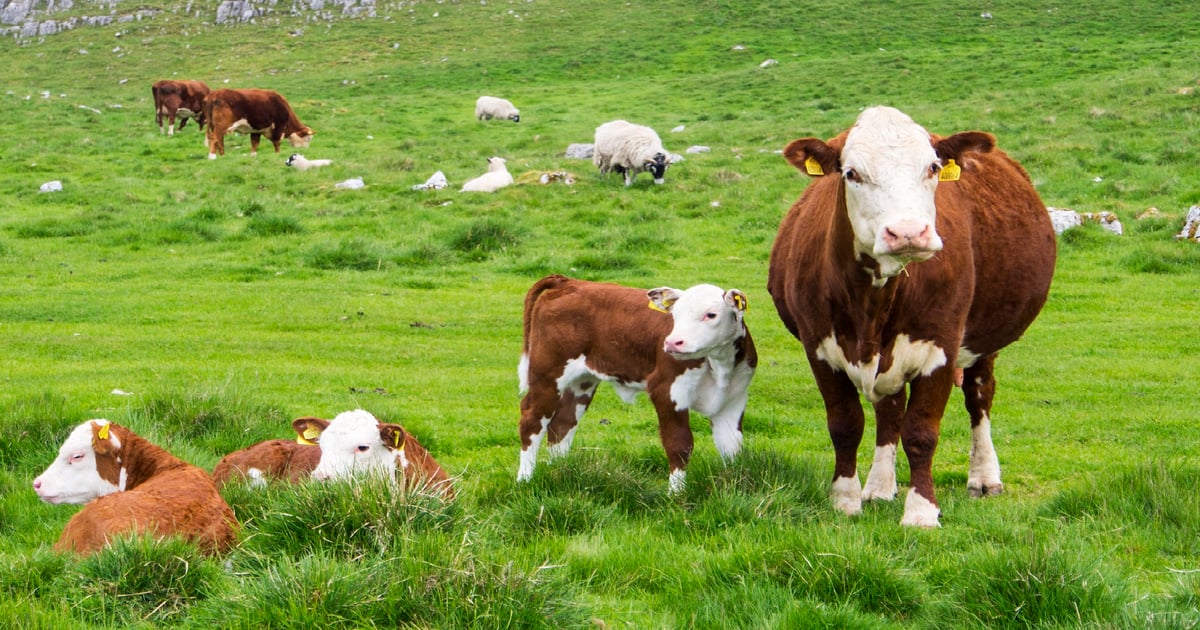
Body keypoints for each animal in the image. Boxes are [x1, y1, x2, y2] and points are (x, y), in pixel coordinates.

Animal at [516, 275, 757, 494]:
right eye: (675, 315)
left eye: (711, 314)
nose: (672, 343)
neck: (719, 366)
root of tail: (569, 282)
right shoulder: (668, 390)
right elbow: (679, 443)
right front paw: (676, 496)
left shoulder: (734, 399)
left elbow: (731, 445)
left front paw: (732, 485)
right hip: (547, 375)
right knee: (532, 422)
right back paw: (525, 480)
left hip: (581, 381)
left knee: (562, 424)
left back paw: (560, 471)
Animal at [767, 106, 1056, 527]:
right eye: (851, 173)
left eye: (933, 168)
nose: (907, 232)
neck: (871, 305)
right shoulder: (818, 347)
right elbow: (845, 424)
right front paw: (845, 500)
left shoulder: (941, 347)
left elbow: (921, 431)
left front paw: (921, 512)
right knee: (889, 411)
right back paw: (879, 487)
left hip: (984, 340)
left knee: (979, 395)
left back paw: (984, 477)